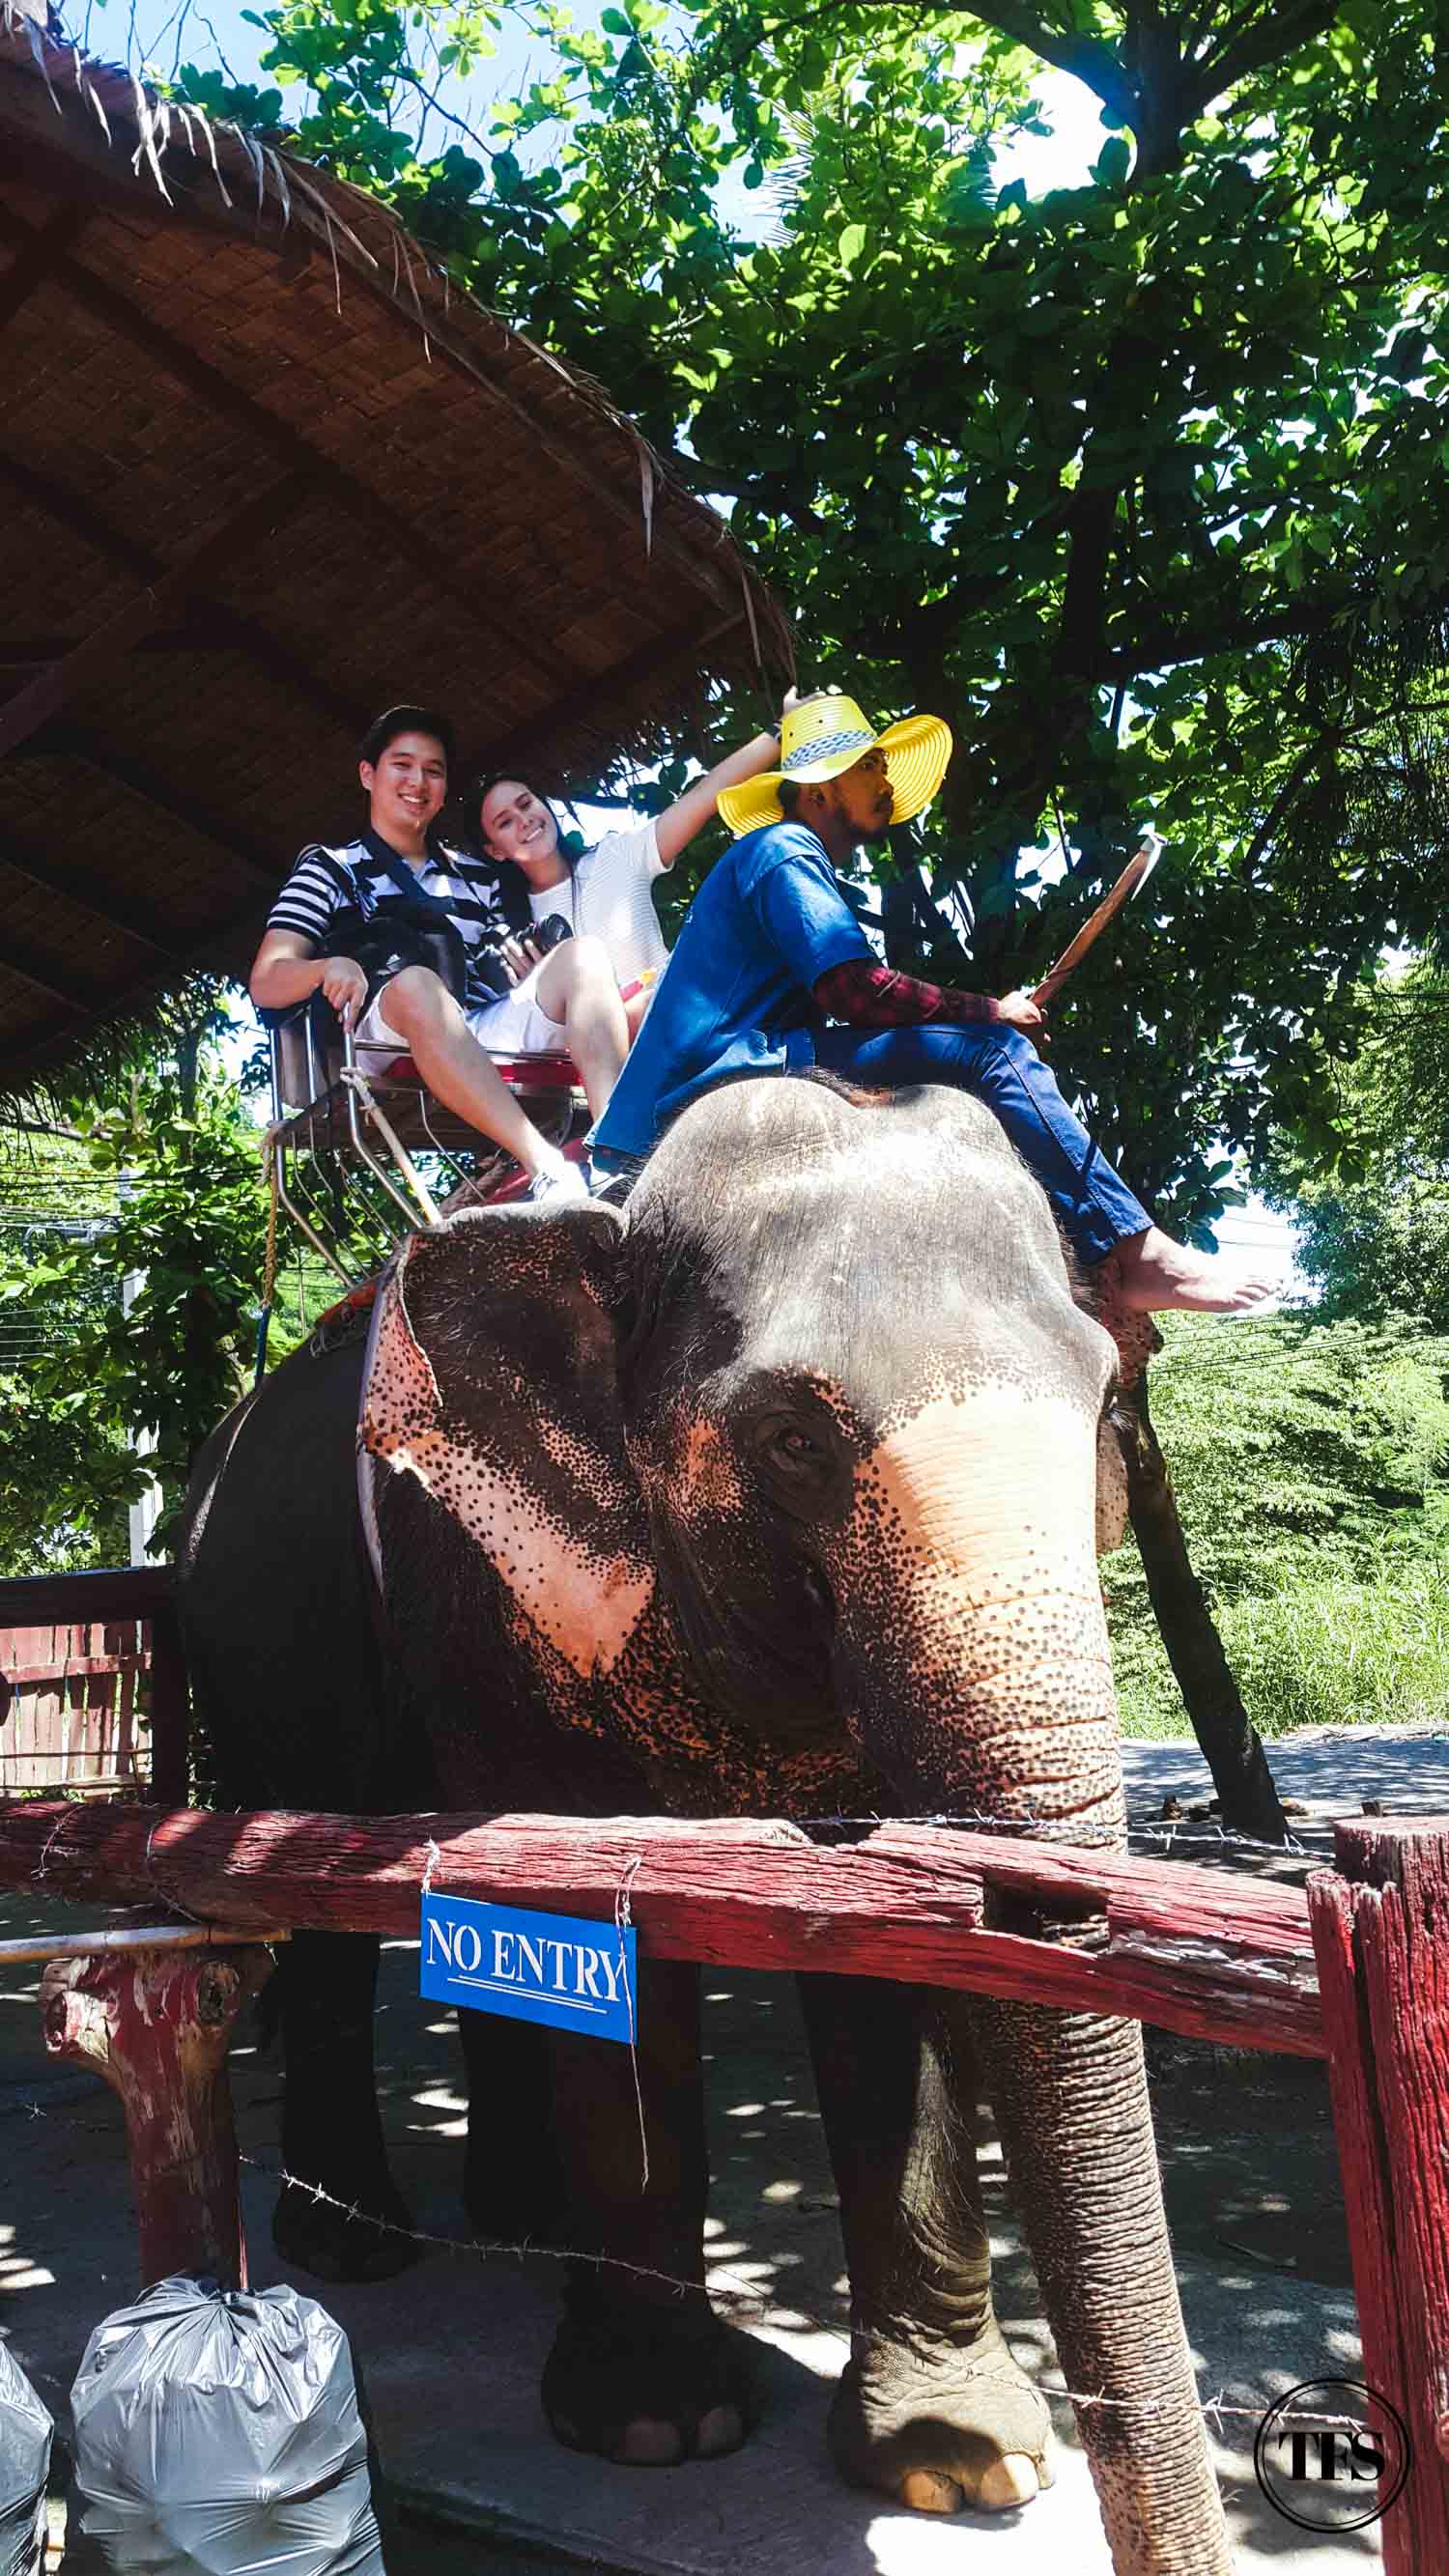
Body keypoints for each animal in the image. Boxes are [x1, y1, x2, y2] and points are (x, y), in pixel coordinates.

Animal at [175, 1071, 1222, 2576]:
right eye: (792, 1439)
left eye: (1103, 1408)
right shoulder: (490, 1586)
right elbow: (589, 1927)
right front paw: (660, 2431)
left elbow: (881, 1951)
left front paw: (960, 2464)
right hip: (261, 1639)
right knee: (315, 1903)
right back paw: (357, 2247)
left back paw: (524, 2219)